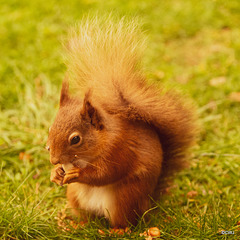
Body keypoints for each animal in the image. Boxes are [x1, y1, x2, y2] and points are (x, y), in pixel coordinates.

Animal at [46, 15, 197, 228]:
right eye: (50, 128)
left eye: (75, 139)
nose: (53, 159)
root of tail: (148, 203)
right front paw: (55, 173)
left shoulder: (119, 149)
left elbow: (106, 173)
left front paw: (78, 174)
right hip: (75, 196)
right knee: (87, 218)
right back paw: (78, 224)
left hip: (125, 198)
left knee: (124, 222)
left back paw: (117, 230)